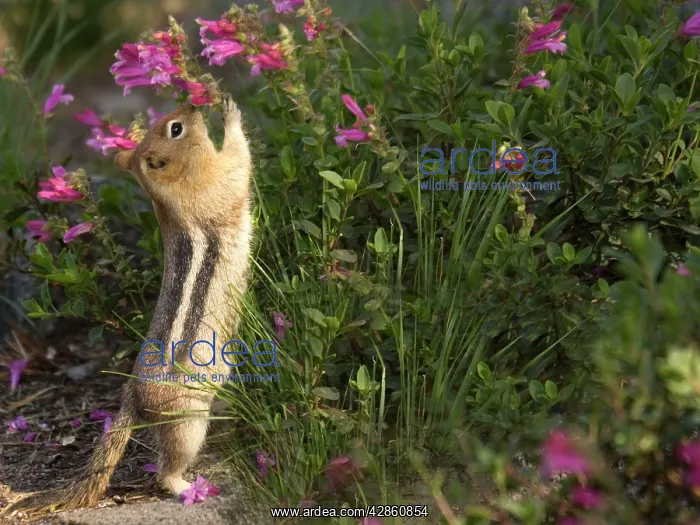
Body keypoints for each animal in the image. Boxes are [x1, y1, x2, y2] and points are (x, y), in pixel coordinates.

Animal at [2, 96, 253, 516]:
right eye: (175, 129)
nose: (191, 104)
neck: (167, 189)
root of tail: (131, 397)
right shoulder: (218, 182)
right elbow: (239, 161)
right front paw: (230, 112)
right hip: (187, 421)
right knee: (166, 469)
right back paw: (187, 487)